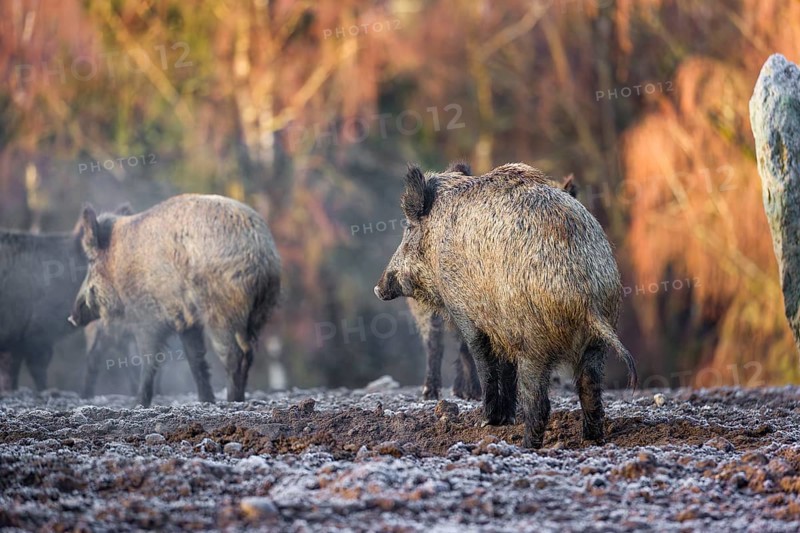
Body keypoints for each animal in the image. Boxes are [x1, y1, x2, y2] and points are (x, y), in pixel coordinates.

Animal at [68, 194, 281, 407]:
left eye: (90, 261)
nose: (72, 317)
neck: (117, 262)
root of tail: (261, 256)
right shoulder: (187, 322)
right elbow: (195, 359)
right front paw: (206, 401)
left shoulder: (146, 317)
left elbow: (149, 359)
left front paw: (138, 405)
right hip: (259, 313)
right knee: (248, 353)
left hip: (220, 311)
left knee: (234, 355)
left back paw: (232, 402)